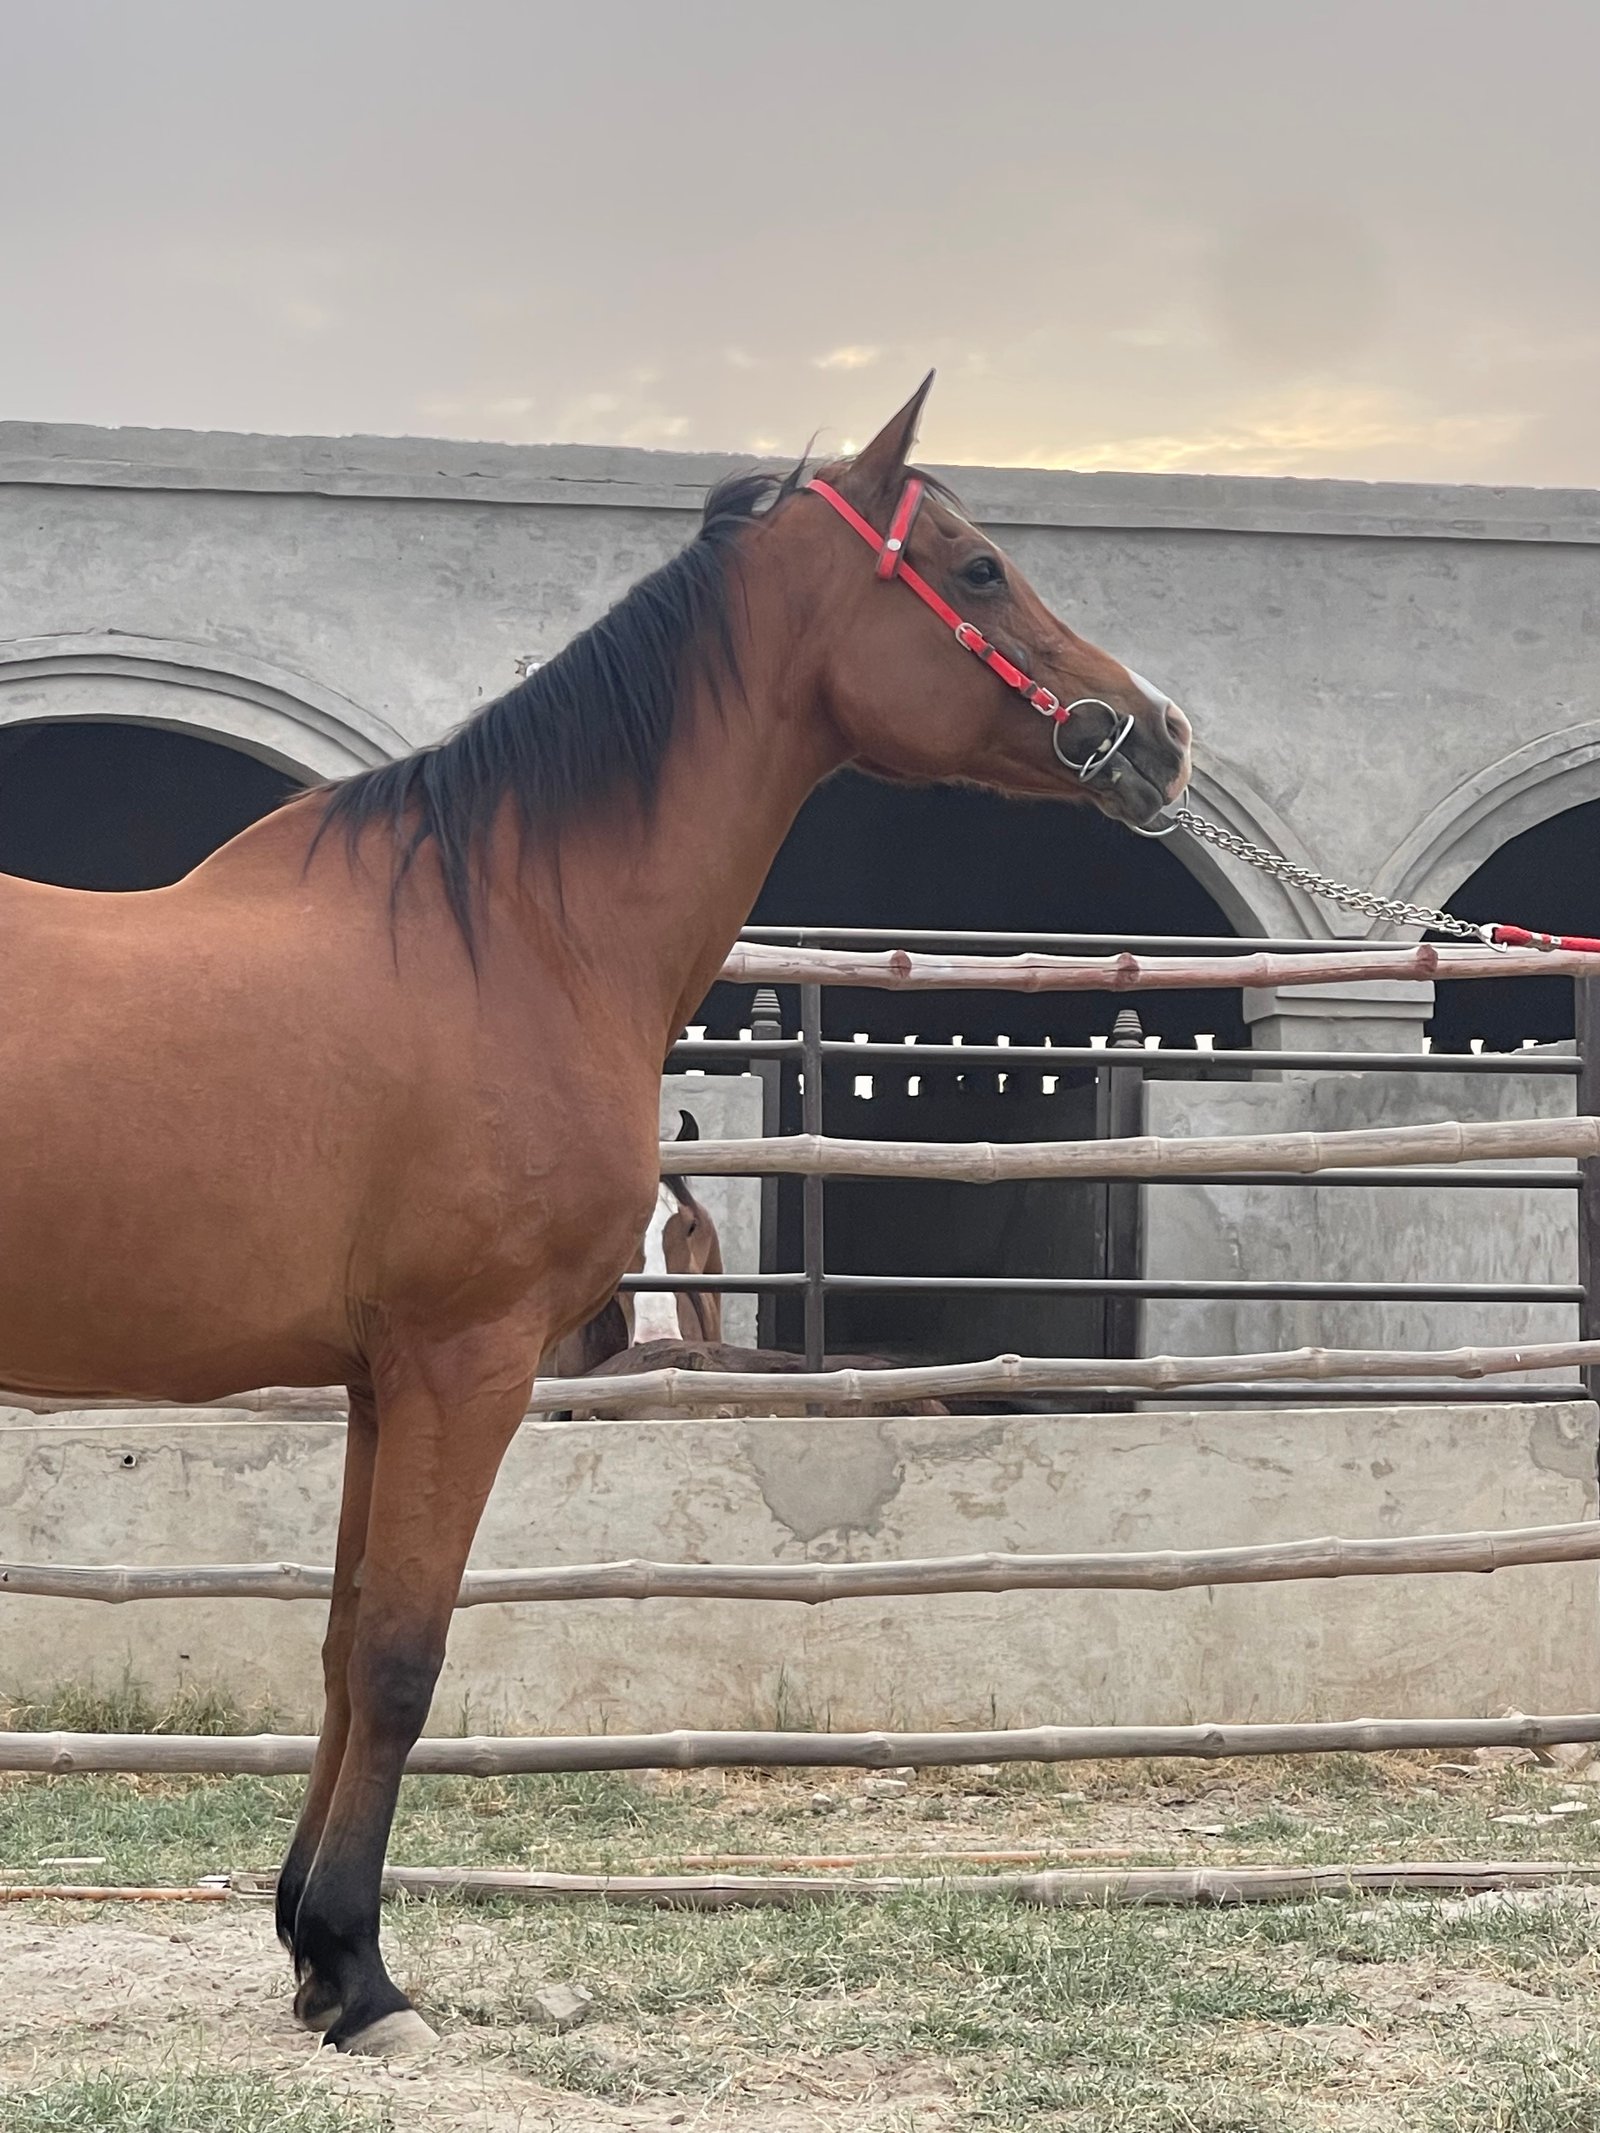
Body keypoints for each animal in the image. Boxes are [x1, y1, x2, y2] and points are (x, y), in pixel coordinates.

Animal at [0, 375, 1191, 2054]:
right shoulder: (469, 1360)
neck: (512, 929)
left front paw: (308, 1953)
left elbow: (339, 1645)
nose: (1161, 737)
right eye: (976, 568)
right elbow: (404, 1655)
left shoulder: (379, 1380)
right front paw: (362, 1974)